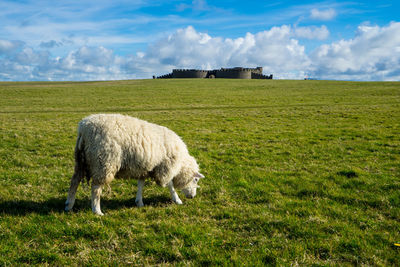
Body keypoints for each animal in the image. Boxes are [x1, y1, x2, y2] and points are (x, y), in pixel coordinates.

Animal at [65, 114, 205, 217]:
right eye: (196, 179)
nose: (192, 197)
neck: (180, 164)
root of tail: (84, 128)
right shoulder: (165, 167)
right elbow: (170, 184)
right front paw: (177, 200)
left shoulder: (145, 168)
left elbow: (140, 184)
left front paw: (139, 202)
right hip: (103, 162)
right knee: (96, 188)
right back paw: (97, 211)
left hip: (81, 162)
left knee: (74, 182)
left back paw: (69, 205)